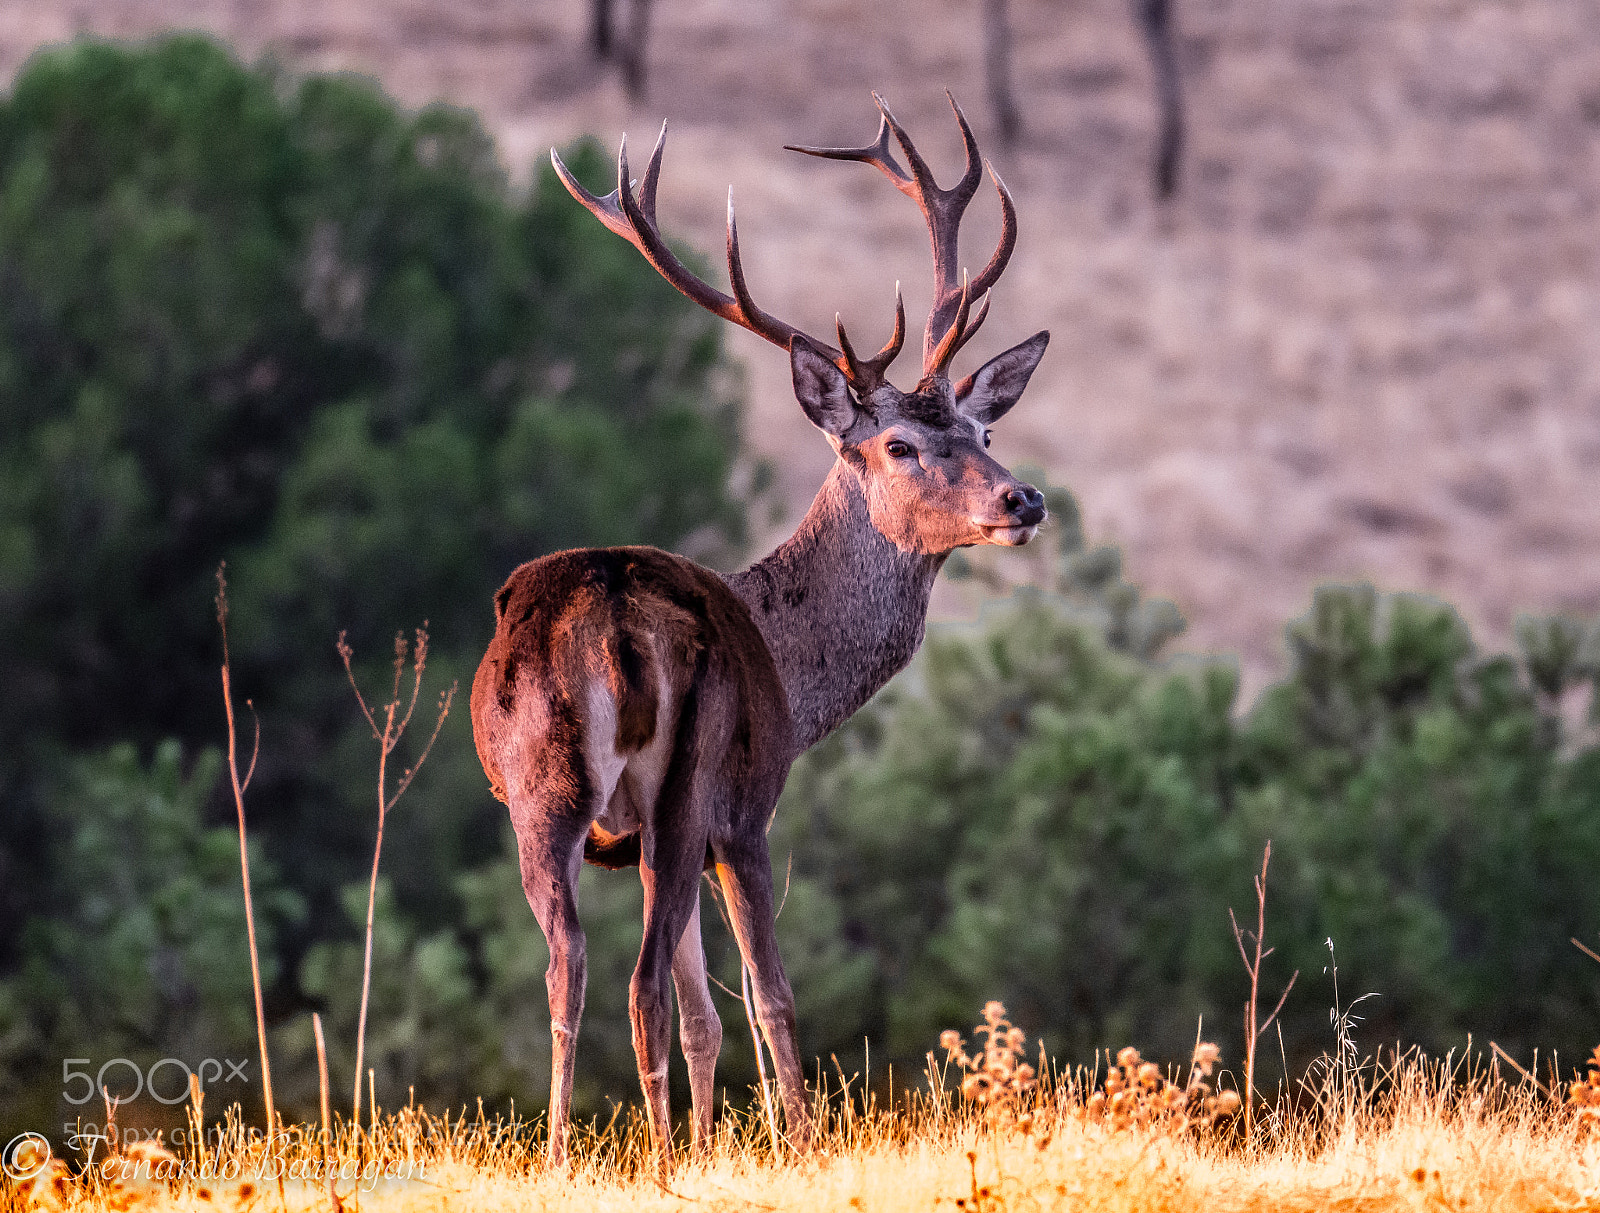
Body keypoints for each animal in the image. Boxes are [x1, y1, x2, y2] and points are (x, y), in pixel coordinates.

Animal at [470, 93, 1050, 1170]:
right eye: (899, 444)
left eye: (983, 432)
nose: (1022, 498)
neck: (798, 674)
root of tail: (612, 616)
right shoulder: (744, 812)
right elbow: (769, 996)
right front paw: (796, 1141)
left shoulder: (658, 839)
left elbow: (708, 1012)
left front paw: (707, 1142)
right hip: (689, 780)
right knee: (640, 981)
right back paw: (651, 1160)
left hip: (544, 790)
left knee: (572, 966)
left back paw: (575, 1151)